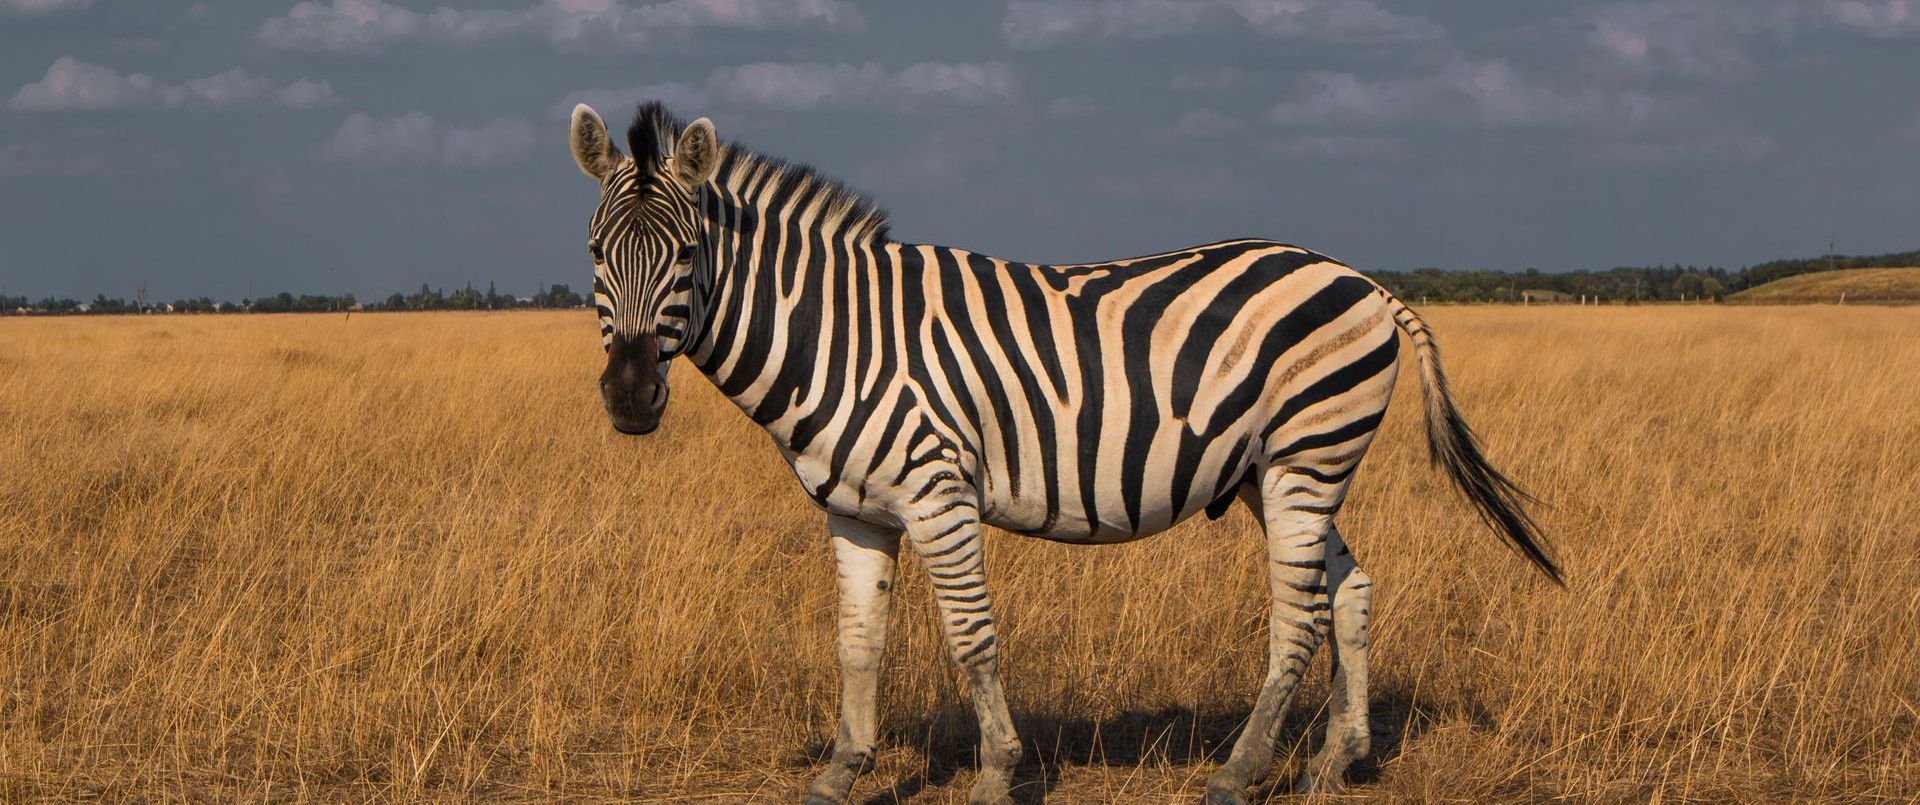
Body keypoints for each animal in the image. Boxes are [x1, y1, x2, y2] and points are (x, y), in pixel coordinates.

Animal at [564, 102, 1559, 805]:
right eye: (595, 253)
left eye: (685, 252)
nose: (630, 396)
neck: (838, 334)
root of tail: (1366, 282)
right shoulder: (855, 509)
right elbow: (856, 640)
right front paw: (840, 773)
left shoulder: (937, 489)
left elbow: (971, 636)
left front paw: (999, 773)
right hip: (1277, 471)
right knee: (1348, 589)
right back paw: (1332, 763)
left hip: (1305, 456)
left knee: (1300, 612)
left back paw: (1238, 773)